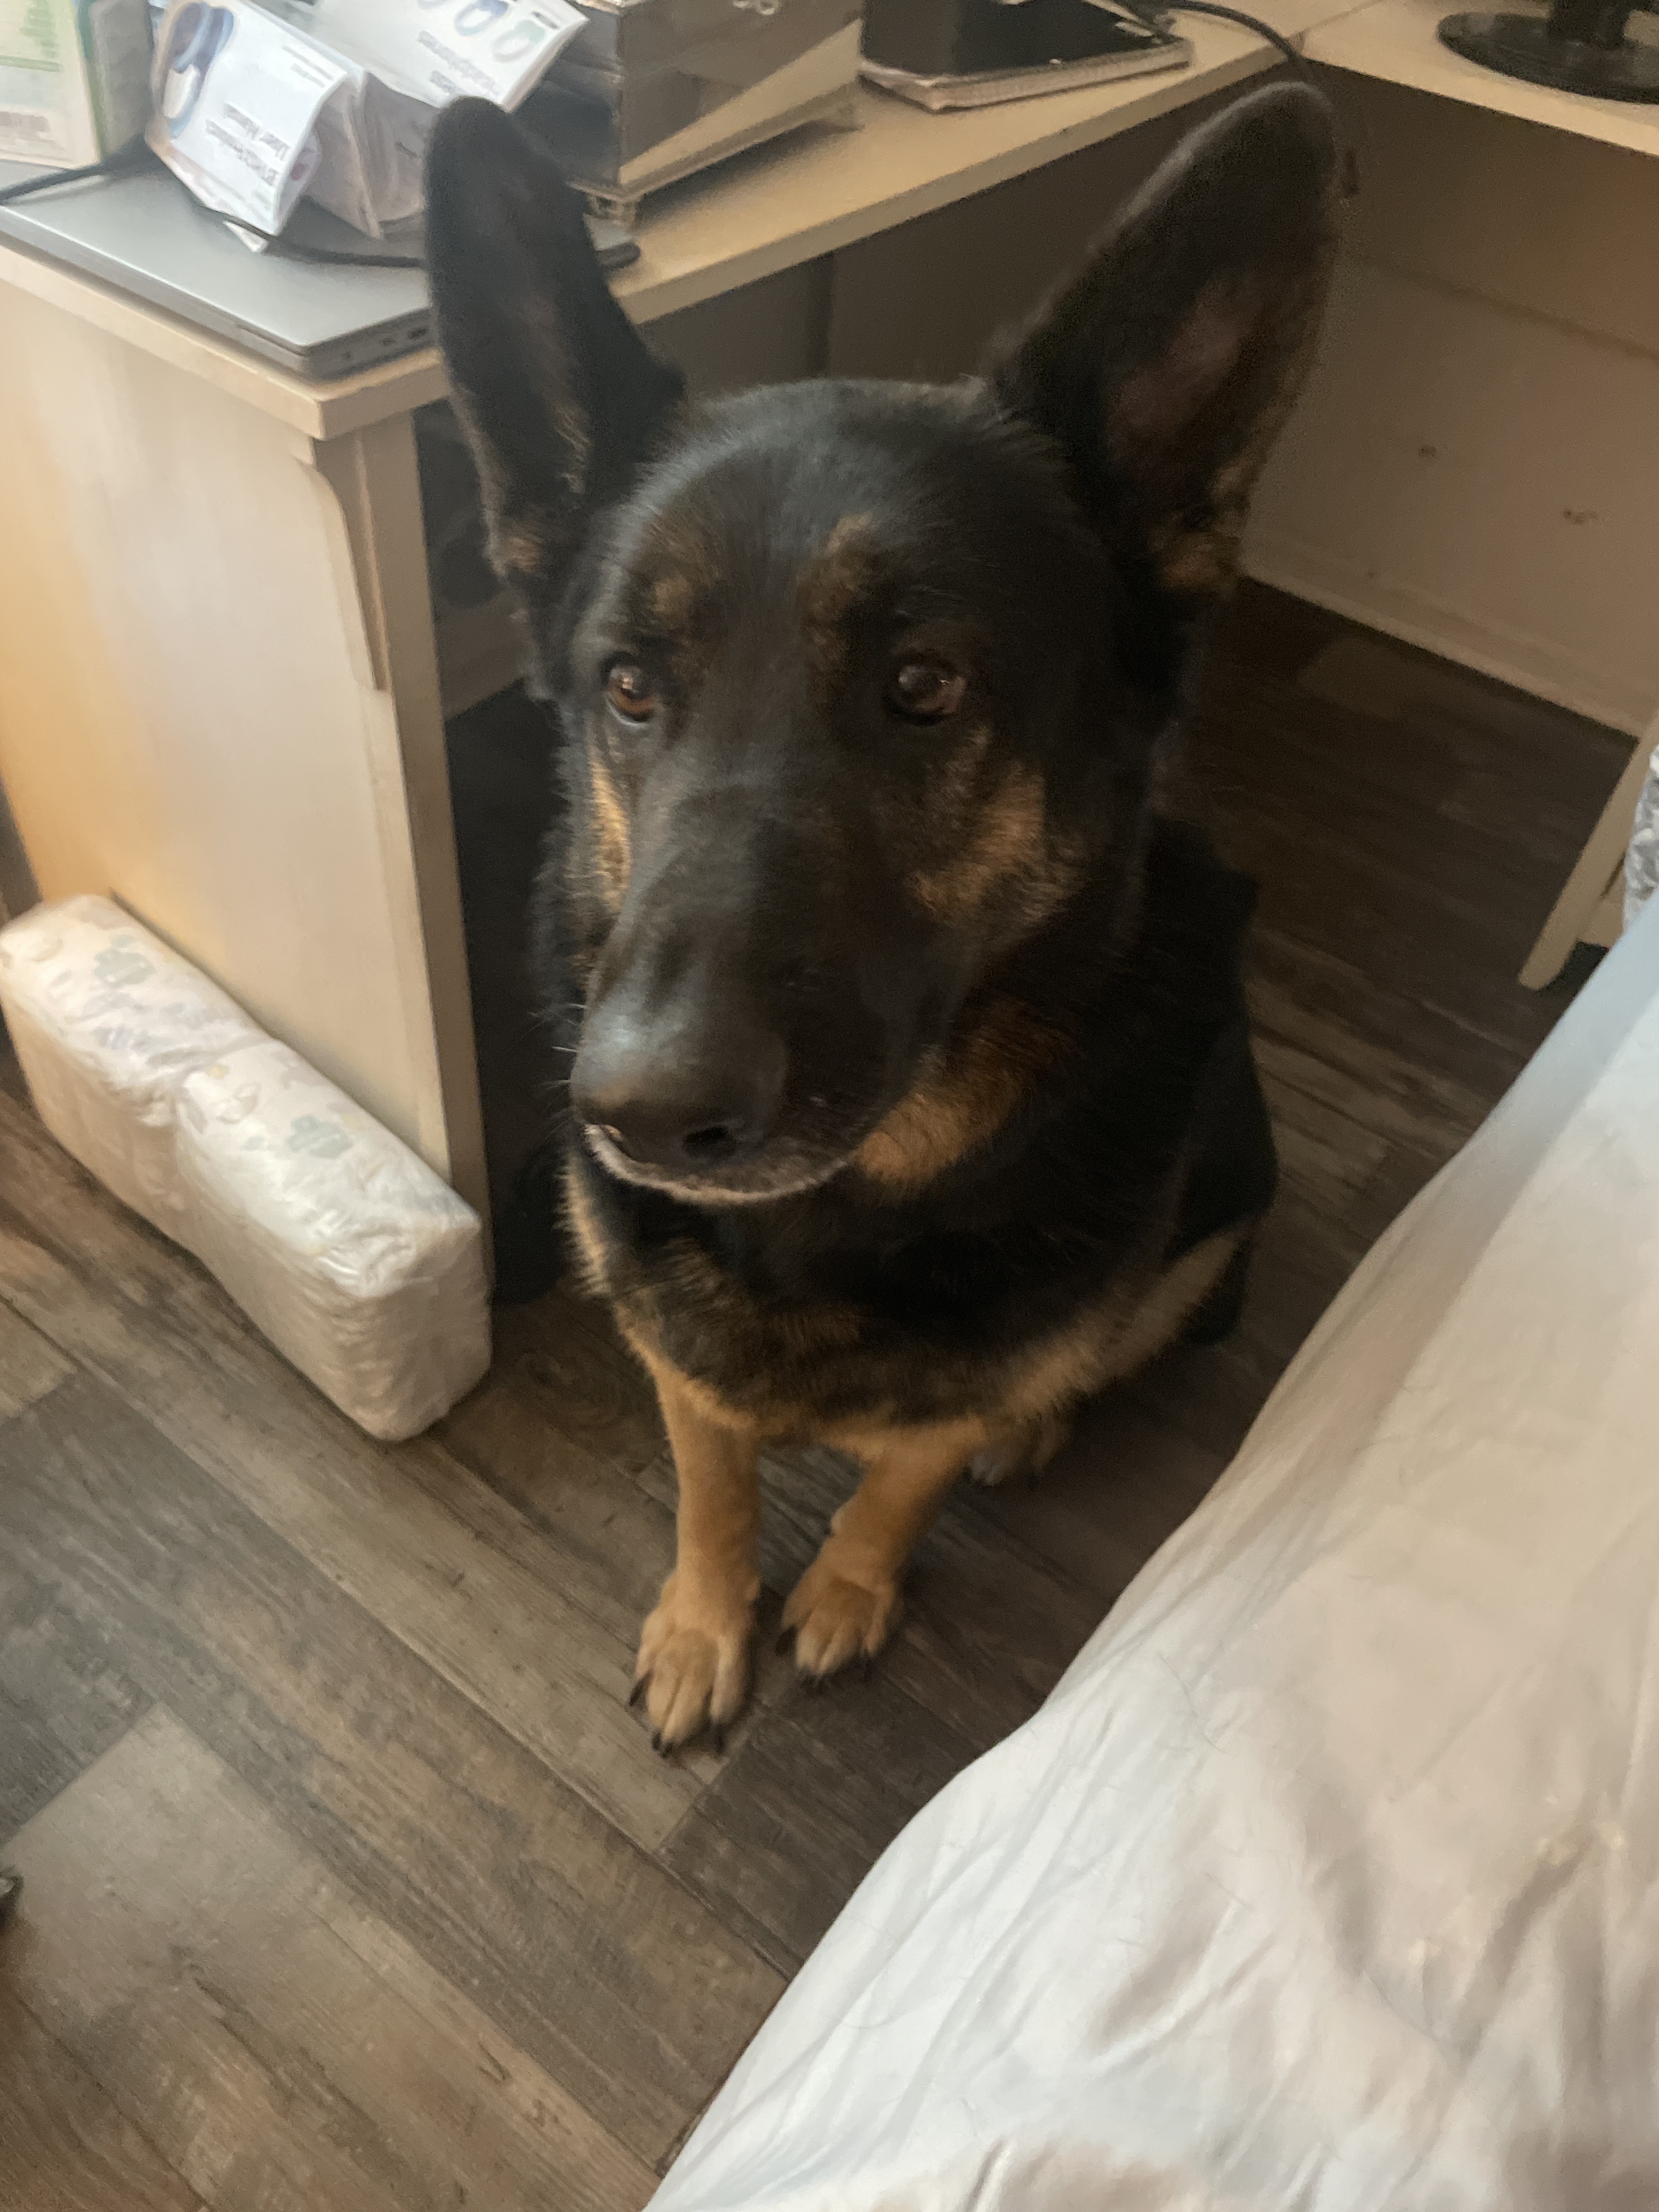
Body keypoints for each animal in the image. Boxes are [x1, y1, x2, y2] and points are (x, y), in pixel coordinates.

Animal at [425, 83, 1340, 1750]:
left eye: (924, 686)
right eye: (629, 688)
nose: (639, 1115)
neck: (844, 1218)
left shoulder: (963, 1382)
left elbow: (900, 1487)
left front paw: (847, 1594)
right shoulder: (673, 1351)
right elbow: (712, 1489)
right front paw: (705, 1624)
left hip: (1209, 1232)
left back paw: (1034, 1430)